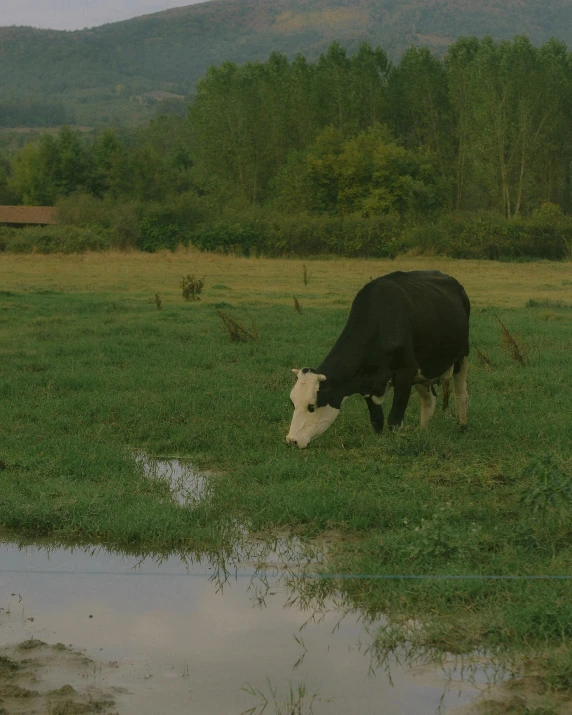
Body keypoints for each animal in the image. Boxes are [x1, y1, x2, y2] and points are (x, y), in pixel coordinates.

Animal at [286, 272, 470, 450]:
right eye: (293, 403)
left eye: (311, 406)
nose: (291, 440)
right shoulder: (368, 382)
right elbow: (377, 420)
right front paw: (380, 441)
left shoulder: (405, 373)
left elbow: (394, 420)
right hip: (423, 370)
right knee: (429, 400)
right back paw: (422, 432)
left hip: (462, 356)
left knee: (461, 394)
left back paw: (463, 427)